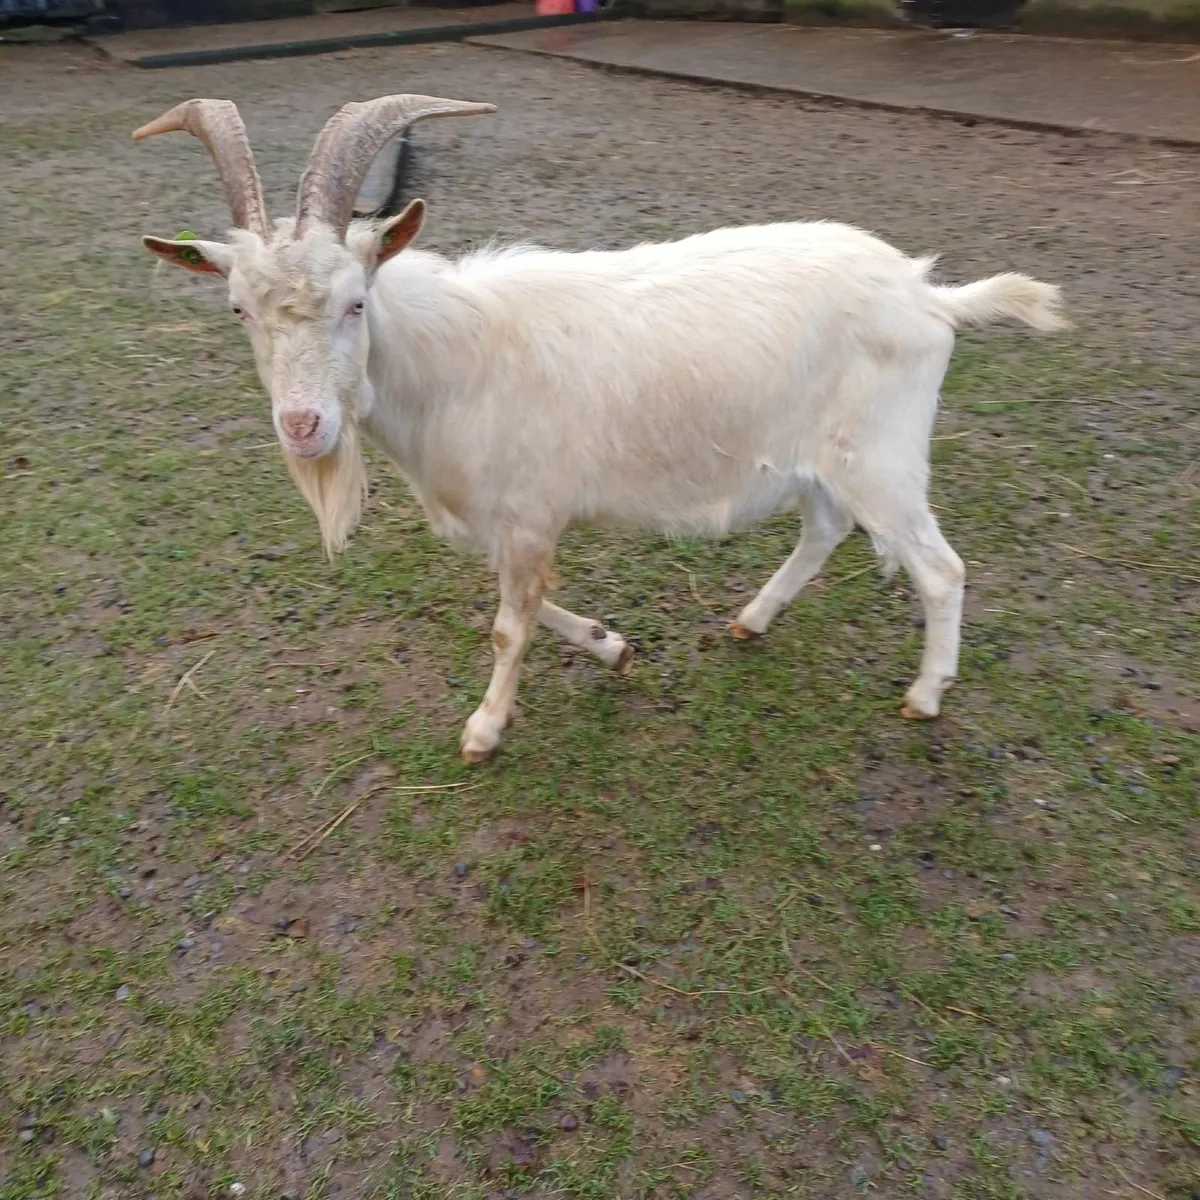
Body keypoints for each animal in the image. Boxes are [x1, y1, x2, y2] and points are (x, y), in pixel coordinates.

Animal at [135, 94, 1066, 763]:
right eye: (238, 310)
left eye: (356, 301)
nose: (303, 425)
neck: (453, 361)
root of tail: (929, 295)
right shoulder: (511, 520)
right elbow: (529, 604)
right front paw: (612, 646)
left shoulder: (525, 515)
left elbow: (510, 620)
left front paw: (484, 730)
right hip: (823, 460)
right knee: (825, 530)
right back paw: (753, 618)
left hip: (882, 457)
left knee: (941, 570)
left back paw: (926, 695)